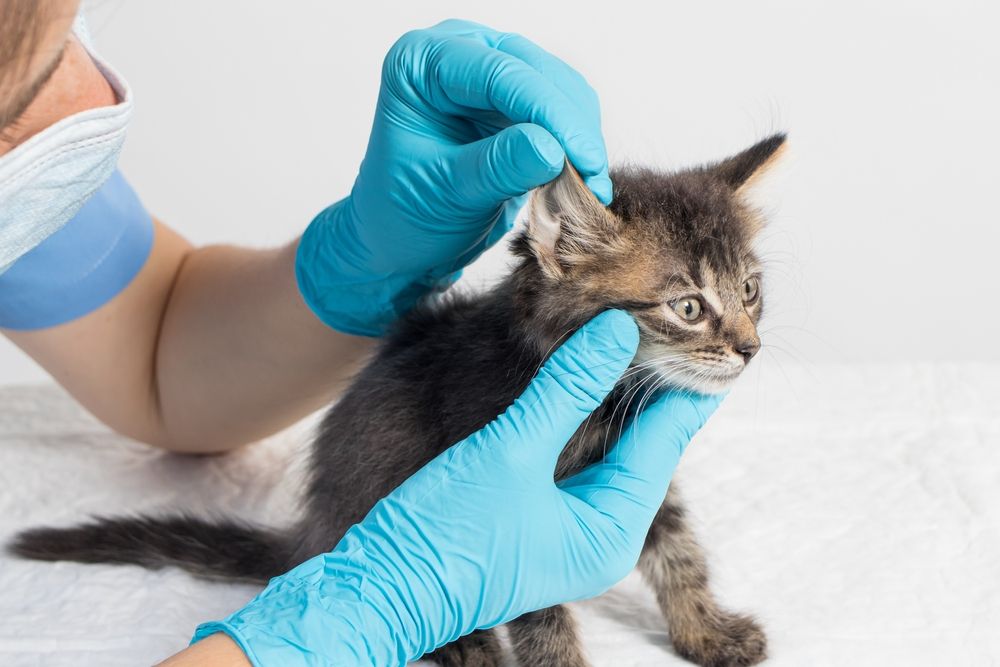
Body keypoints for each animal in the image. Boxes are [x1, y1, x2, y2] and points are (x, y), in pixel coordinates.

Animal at [9, 136, 788, 667]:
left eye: (750, 290)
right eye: (688, 306)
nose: (750, 349)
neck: (608, 399)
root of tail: (315, 529)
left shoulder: (637, 475)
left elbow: (679, 551)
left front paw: (706, 631)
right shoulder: (529, 517)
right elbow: (542, 611)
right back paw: (462, 644)